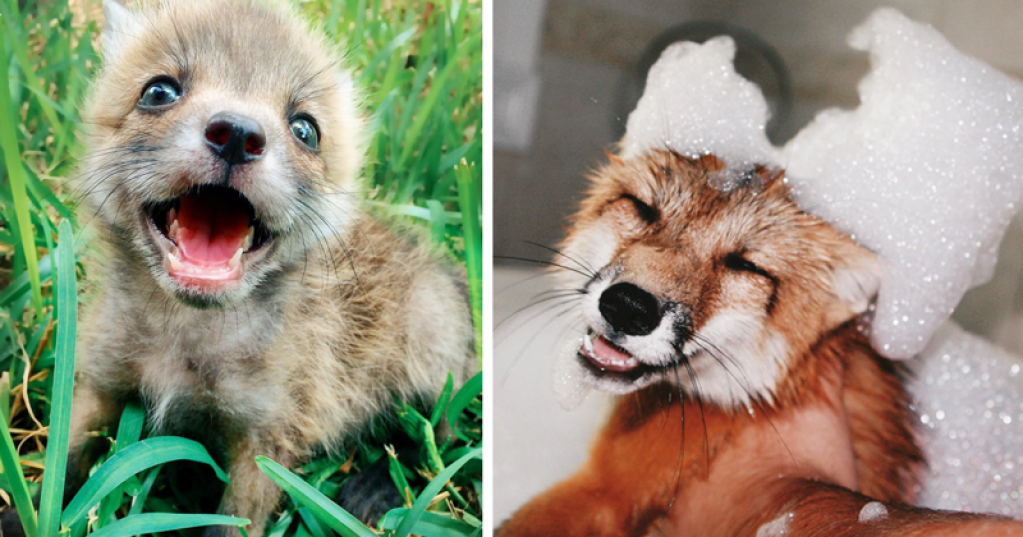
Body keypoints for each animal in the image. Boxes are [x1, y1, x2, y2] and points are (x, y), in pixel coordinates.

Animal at [1, 0, 474, 535]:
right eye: (158, 91)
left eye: (305, 129)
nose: (239, 135)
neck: (186, 332)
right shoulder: (99, 384)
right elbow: (64, 463)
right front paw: (22, 516)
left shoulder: (266, 440)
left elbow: (232, 522)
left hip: (431, 353)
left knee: (437, 436)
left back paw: (377, 487)